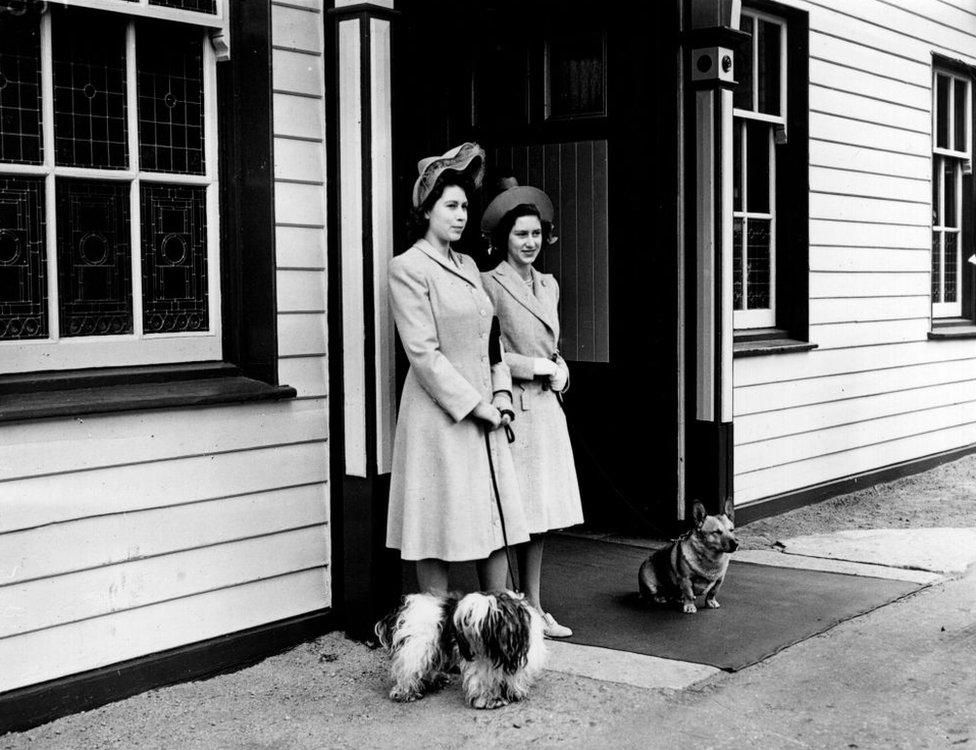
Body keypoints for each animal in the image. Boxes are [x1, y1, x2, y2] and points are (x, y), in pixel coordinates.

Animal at [374, 592, 544, 712]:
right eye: (467, 617)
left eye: (484, 620)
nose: (463, 630)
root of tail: (404, 608)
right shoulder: (480, 662)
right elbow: (482, 681)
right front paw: (489, 700)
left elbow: (514, 677)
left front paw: (514, 692)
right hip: (416, 649)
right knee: (408, 672)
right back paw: (406, 692)